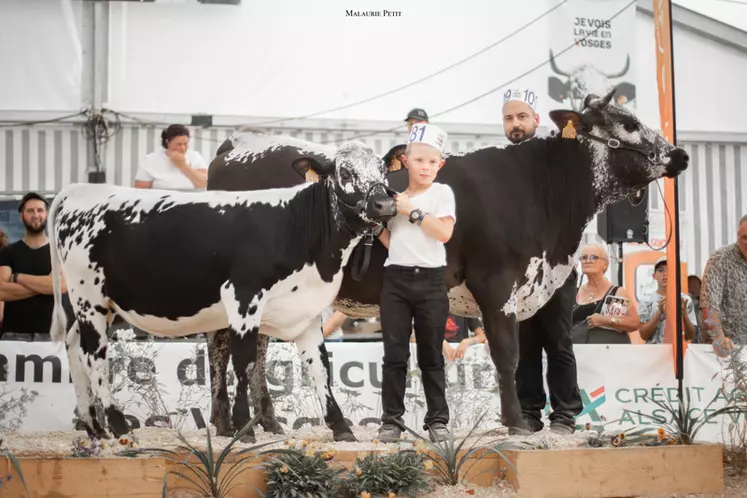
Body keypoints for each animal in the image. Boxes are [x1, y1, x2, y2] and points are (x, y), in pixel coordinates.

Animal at [46, 142, 398, 442]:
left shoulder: (305, 308)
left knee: (74, 346)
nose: (384, 203)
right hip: (89, 296)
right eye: (345, 173)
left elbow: (320, 367)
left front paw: (342, 429)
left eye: (383, 171)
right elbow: (244, 363)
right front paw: (244, 429)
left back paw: (94, 427)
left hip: (100, 305)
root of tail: (78, 190)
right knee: (95, 354)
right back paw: (118, 426)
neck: (293, 225)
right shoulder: (244, 299)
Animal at [203, 88, 688, 436]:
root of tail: (237, 143)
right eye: (629, 124)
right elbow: (507, 354)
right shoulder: (497, 281)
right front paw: (516, 424)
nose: (680, 155)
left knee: (255, 348)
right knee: (221, 344)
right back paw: (229, 422)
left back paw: (266, 423)